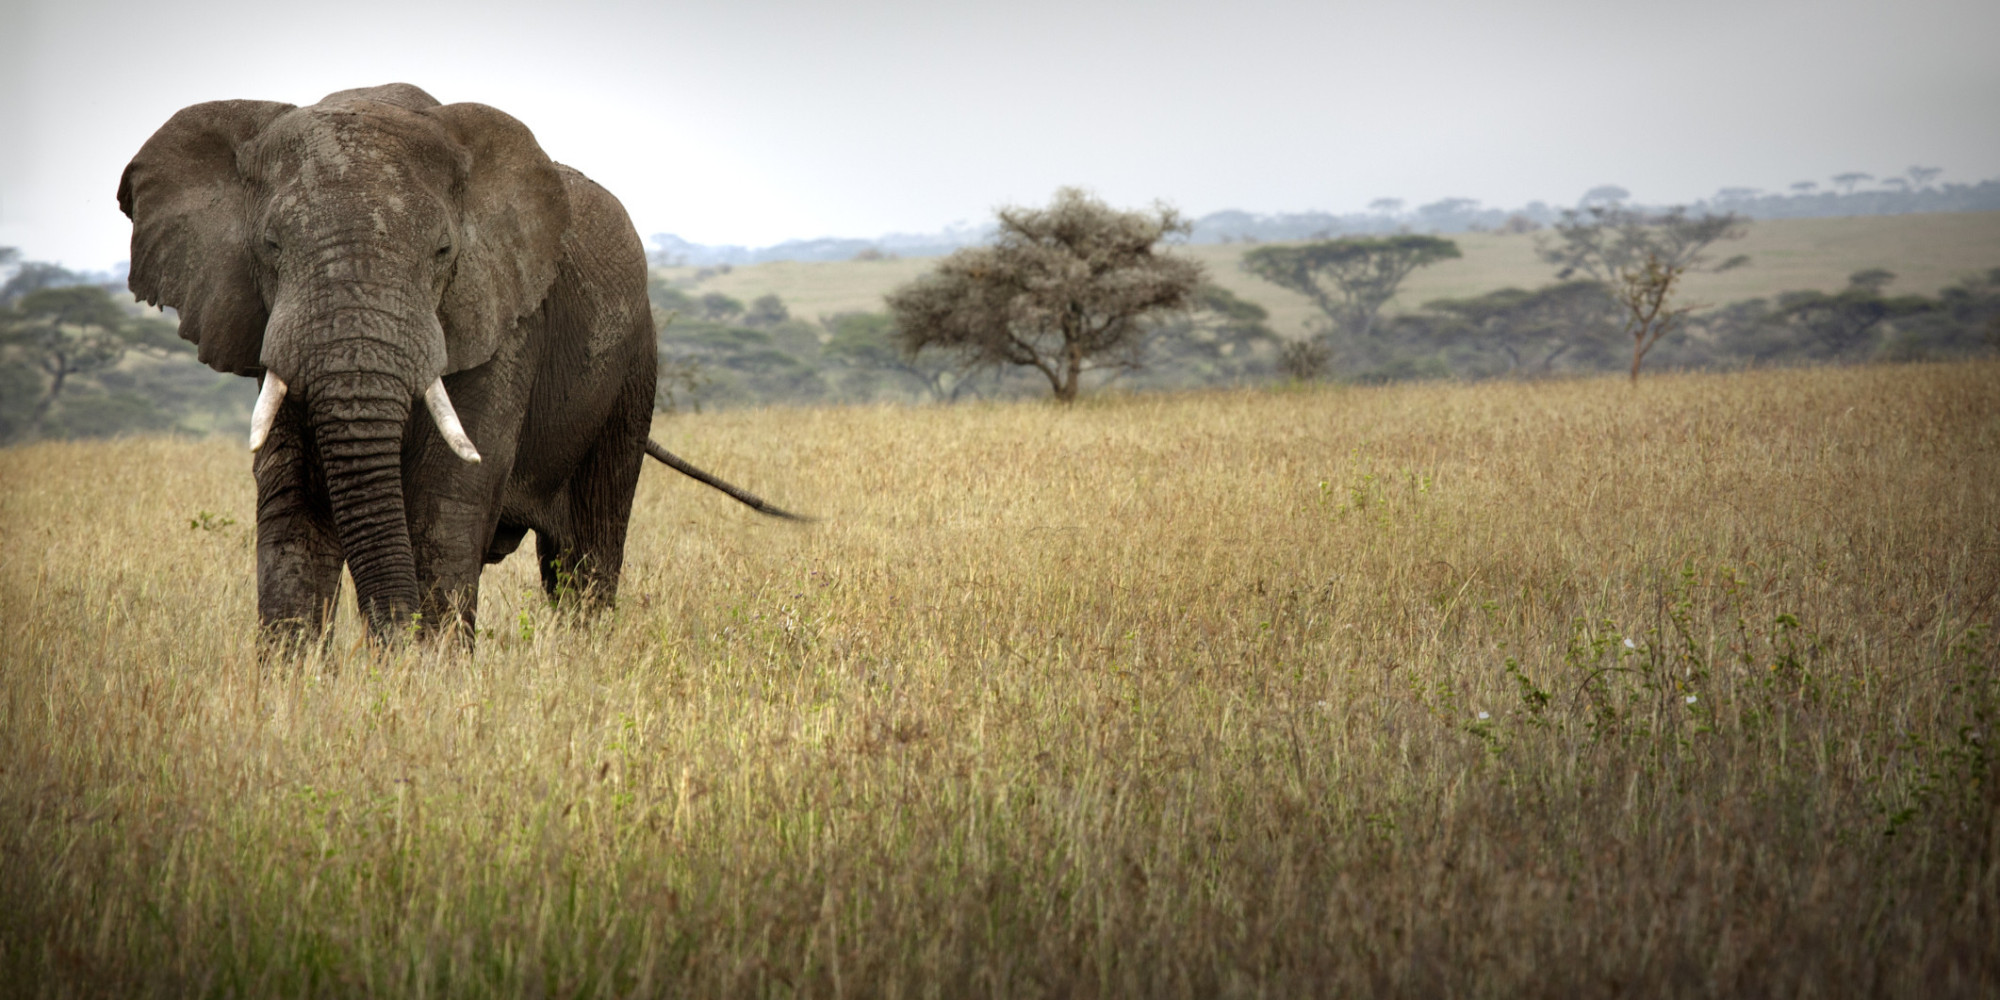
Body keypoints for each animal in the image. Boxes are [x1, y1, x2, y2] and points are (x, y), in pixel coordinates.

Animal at [120, 82, 796, 644]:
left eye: (443, 251)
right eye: (270, 247)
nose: (388, 642)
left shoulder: (507, 322)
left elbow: (445, 499)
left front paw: (426, 677)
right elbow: (292, 505)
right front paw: (291, 687)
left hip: (632, 367)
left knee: (585, 553)